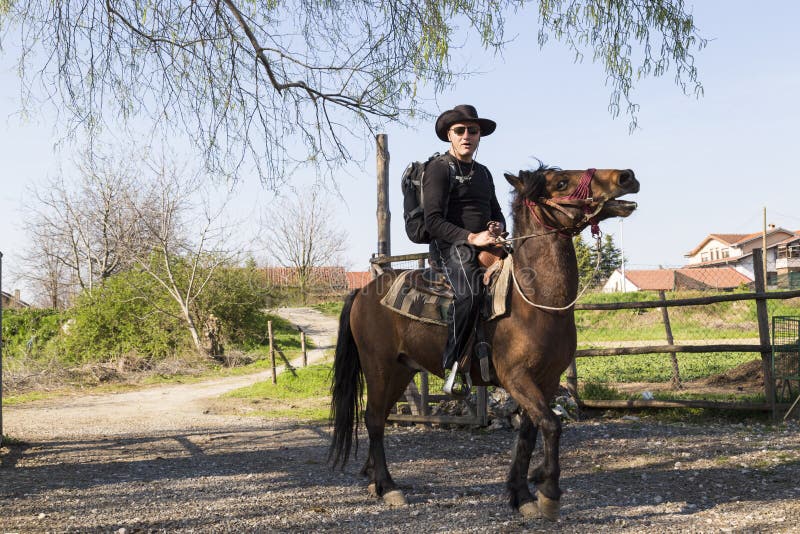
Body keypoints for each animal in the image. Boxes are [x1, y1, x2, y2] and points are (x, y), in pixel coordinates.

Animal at [329, 163, 639, 519]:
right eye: (561, 182)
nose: (626, 176)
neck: (533, 300)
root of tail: (363, 291)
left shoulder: (546, 380)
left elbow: (529, 432)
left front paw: (522, 495)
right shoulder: (516, 377)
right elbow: (551, 425)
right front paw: (548, 492)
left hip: (401, 371)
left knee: (377, 417)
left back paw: (374, 483)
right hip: (378, 367)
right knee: (374, 419)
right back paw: (388, 486)